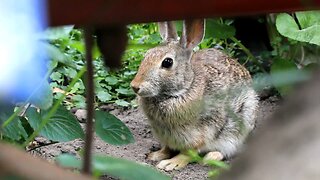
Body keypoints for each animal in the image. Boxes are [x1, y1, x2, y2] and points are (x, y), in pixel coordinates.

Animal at [130, 19, 258, 171]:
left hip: (242, 121)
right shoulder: (166, 136)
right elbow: (167, 148)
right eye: (147, 54)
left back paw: (211, 157)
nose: (135, 86)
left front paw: (171, 163)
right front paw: (156, 155)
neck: (184, 88)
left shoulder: (201, 132)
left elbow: (188, 152)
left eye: (167, 62)